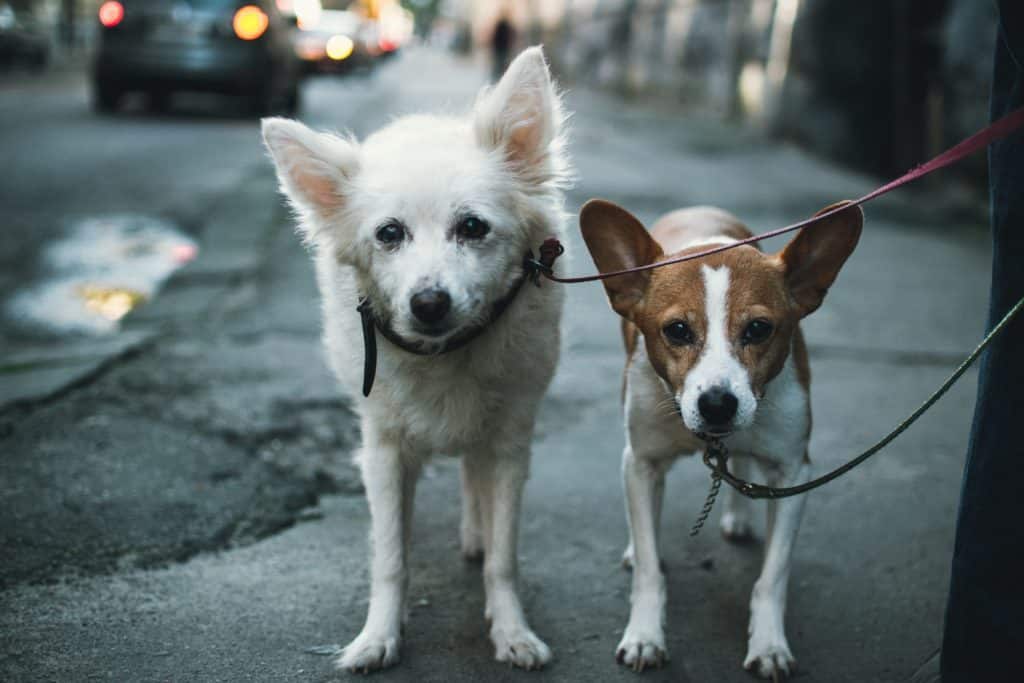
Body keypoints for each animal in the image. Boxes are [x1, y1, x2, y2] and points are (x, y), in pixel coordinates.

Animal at [260, 48, 573, 671]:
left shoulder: (510, 443)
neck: (445, 352)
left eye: (473, 227)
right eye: (389, 234)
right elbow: (390, 558)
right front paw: (378, 637)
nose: (428, 304)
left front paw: (512, 630)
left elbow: (504, 557)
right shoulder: (382, 451)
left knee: (474, 478)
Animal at [581, 197, 860, 679]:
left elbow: (773, 576)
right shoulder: (641, 461)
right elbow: (650, 571)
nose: (717, 404)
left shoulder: (794, 472)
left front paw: (768, 644)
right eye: (677, 330)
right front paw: (645, 634)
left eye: (758, 329)